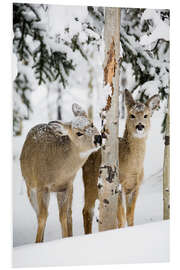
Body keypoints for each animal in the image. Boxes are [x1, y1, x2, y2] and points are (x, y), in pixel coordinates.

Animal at [19, 103, 102, 243]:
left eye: (92, 124)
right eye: (78, 133)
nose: (98, 138)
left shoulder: (66, 186)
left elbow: (63, 215)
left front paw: (65, 238)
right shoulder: (41, 185)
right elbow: (42, 216)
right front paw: (38, 242)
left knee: (69, 213)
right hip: (29, 186)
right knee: (38, 213)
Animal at [82, 89, 160, 233]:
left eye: (146, 115)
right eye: (132, 115)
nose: (140, 126)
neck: (132, 167)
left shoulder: (135, 186)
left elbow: (130, 216)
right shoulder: (116, 184)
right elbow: (121, 218)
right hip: (90, 182)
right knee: (87, 210)